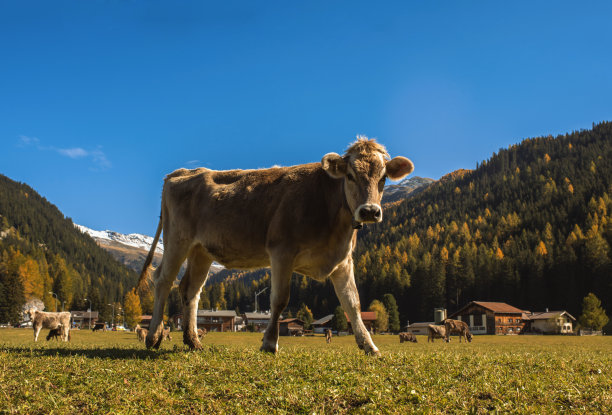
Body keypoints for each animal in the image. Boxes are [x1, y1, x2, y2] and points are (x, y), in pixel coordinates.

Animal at [137, 138, 416, 356]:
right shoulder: (282, 252)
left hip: (202, 251)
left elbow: (353, 304)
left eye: (383, 178)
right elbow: (280, 300)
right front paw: (270, 343)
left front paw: (369, 346)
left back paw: (193, 341)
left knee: (191, 290)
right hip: (177, 239)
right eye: (350, 175)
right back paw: (153, 337)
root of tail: (183, 172)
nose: (369, 211)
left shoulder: (343, 261)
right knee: (163, 281)